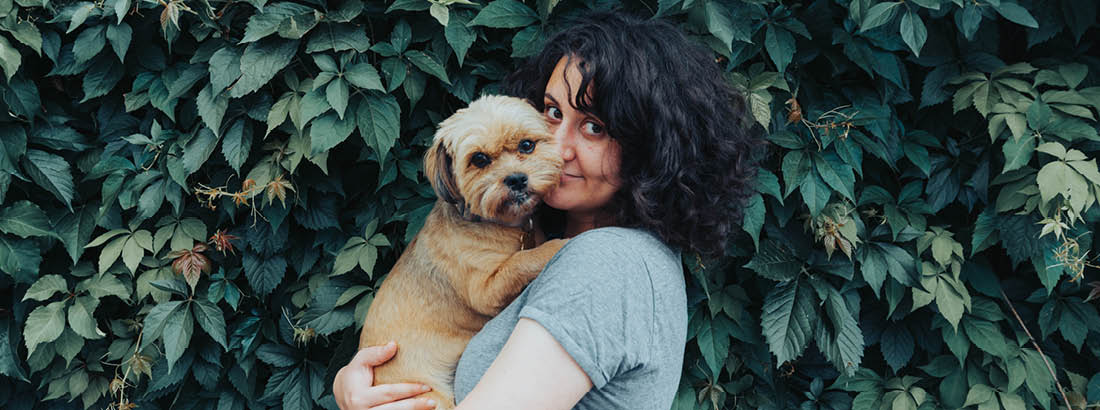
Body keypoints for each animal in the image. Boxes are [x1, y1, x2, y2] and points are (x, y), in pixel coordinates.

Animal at [360, 95, 567, 406]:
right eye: (479, 159)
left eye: (526, 145)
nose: (516, 179)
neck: (502, 225)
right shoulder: (485, 290)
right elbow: (521, 260)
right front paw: (561, 244)